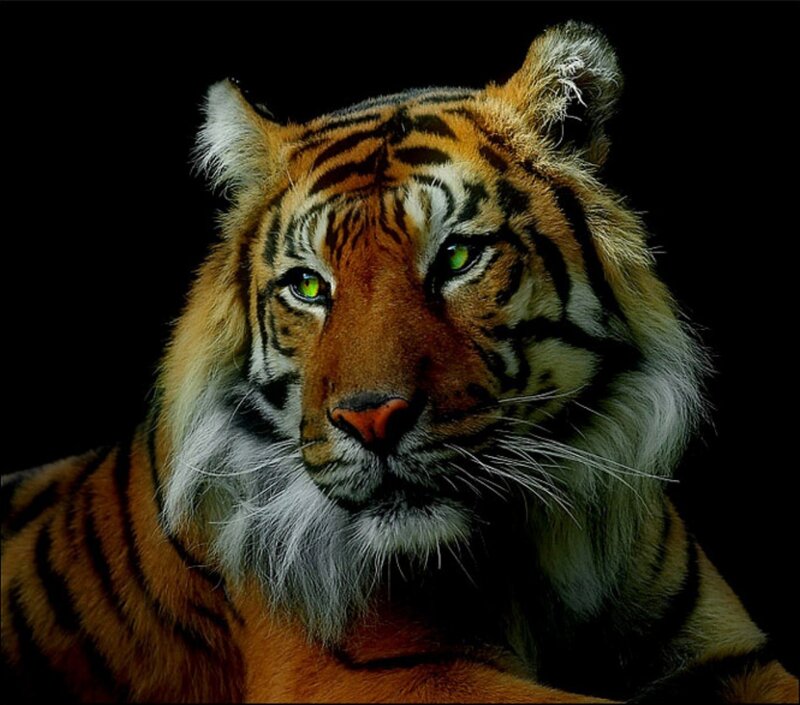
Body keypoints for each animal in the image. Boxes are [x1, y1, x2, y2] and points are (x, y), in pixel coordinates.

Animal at [2, 20, 797, 703]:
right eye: (309, 286)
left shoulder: (730, 652)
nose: (372, 419)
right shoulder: (375, 674)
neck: (536, 555)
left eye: (457, 256)